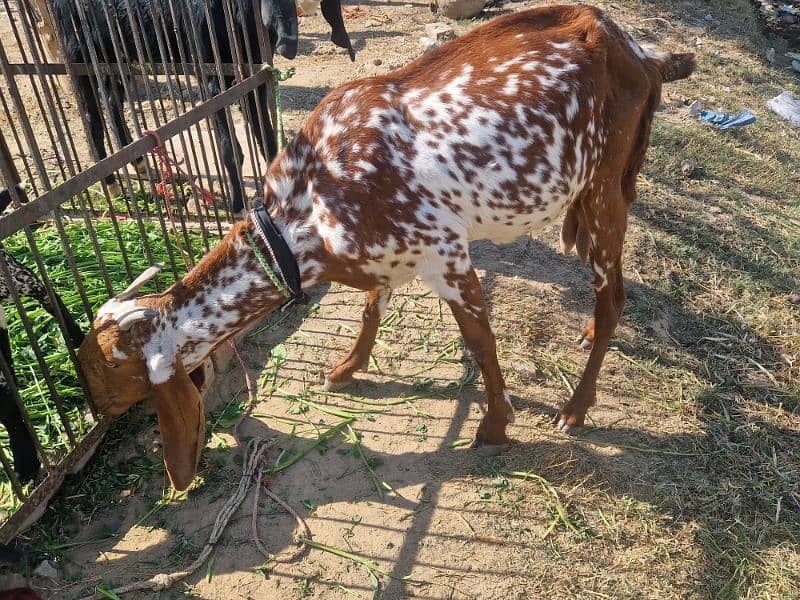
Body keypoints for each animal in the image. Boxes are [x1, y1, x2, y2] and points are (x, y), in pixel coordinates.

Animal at [78, 4, 696, 490]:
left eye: (106, 372)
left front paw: (494, 426)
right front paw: (347, 368)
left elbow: (480, 342)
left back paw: (575, 408)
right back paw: (587, 334)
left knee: (613, 293)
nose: (94, 410)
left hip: (604, 186)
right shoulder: (388, 253)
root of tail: (638, 52)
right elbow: (372, 307)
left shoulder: (445, 249)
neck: (305, 211)